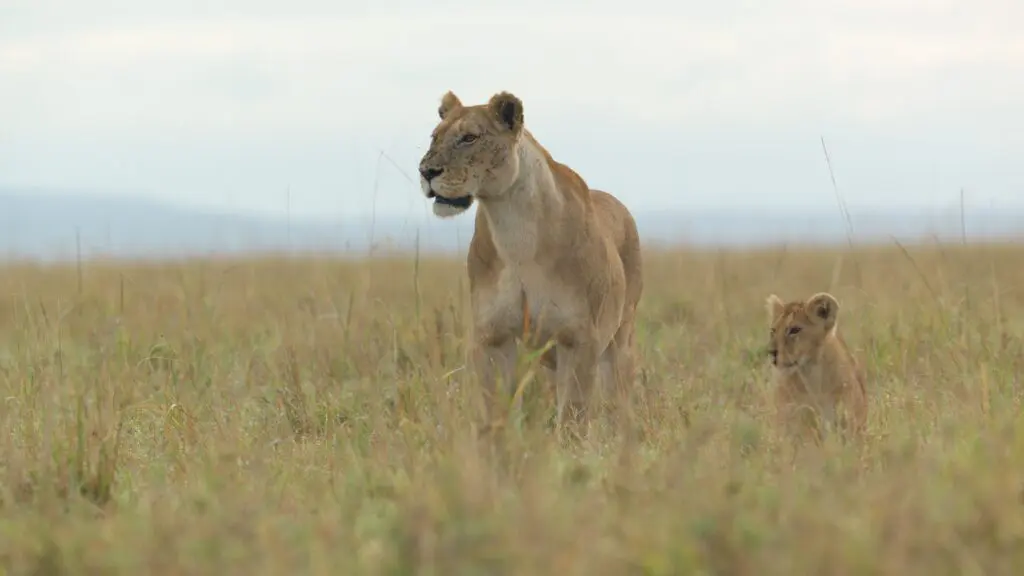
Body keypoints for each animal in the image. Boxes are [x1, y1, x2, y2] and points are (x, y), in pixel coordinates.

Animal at [417, 90, 643, 431]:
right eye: (435, 137)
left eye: (469, 138)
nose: (426, 171)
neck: (515, 231)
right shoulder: (494, 335)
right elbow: (496, 409)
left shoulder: (579, 338)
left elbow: (574, 415)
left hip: (620, 339)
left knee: (619, 398)